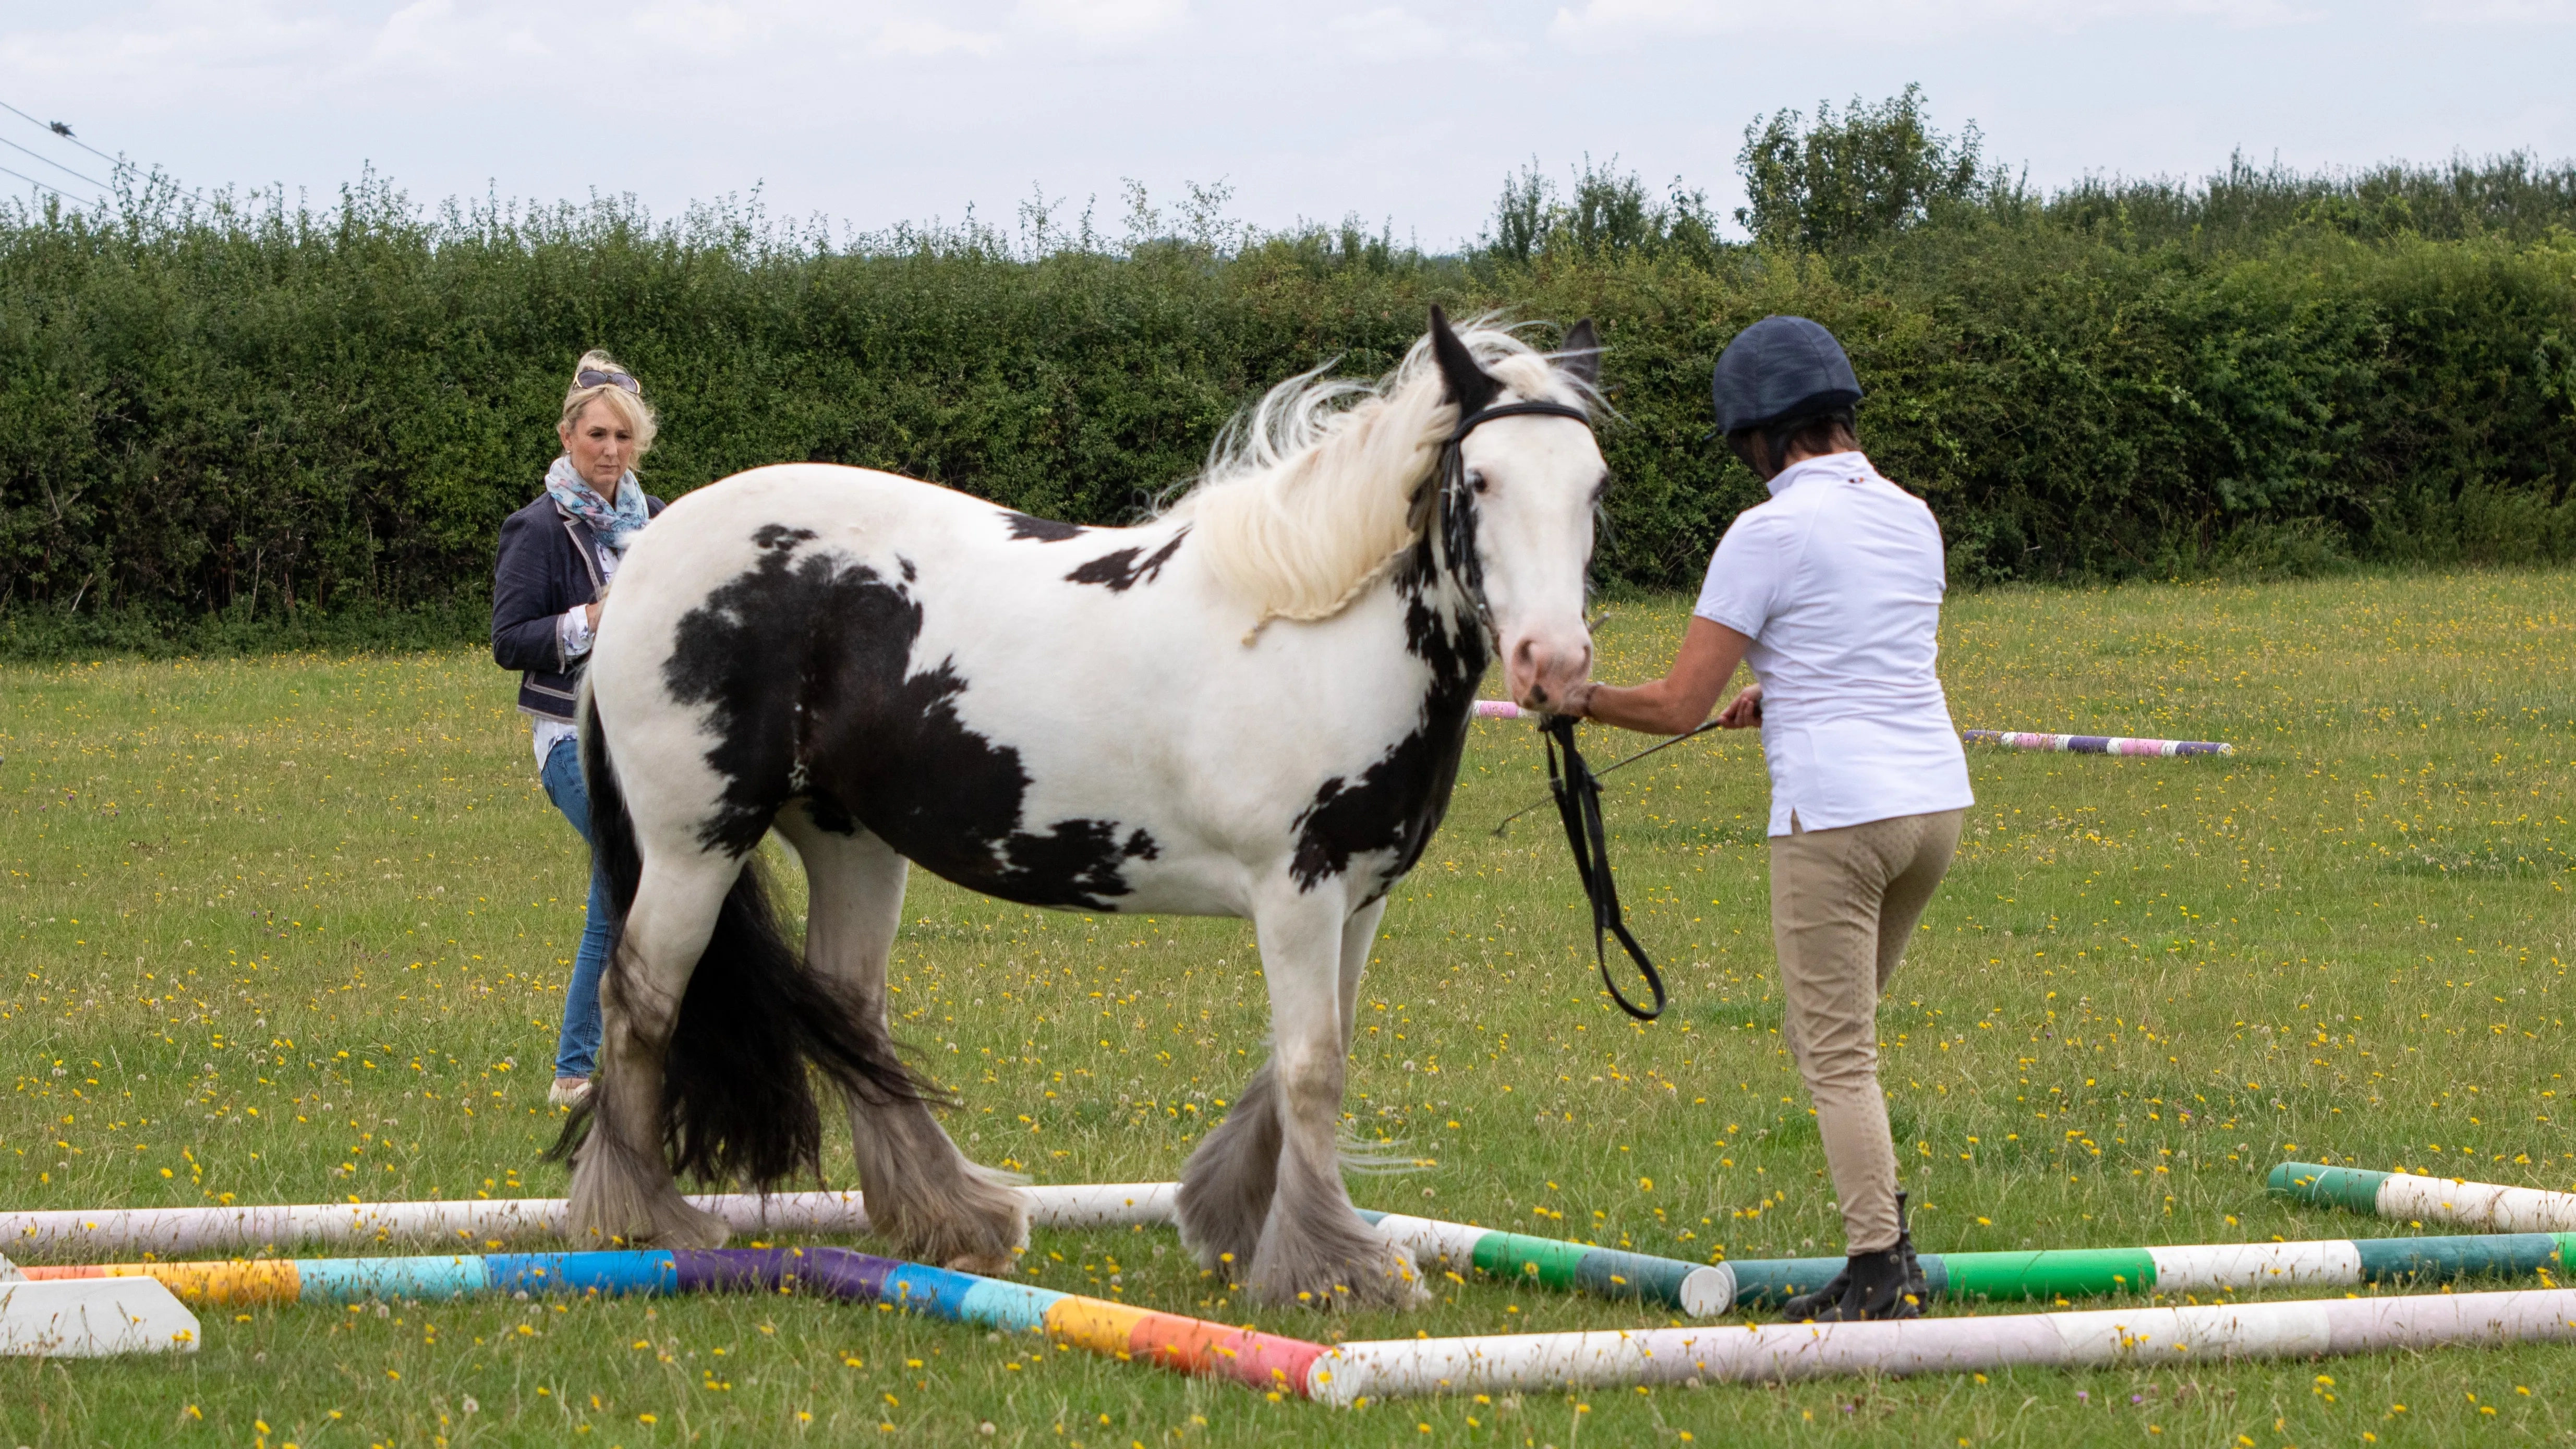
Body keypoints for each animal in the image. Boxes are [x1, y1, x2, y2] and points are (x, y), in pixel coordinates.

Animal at [563, 307, 1607, 1310]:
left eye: (1593, 486)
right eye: (1478, 480)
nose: (1551, 663)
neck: (1314, 629)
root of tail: (643, 563)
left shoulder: (1359, 898)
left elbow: (1306, 1055)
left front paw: (1238, 1220)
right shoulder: (1297, 892)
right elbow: (1312, 1067)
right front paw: (1332, 1270)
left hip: (848, 840)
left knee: (850, 1009)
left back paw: (948, 1217)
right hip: (695, 844)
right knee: (641, 1000)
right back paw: (644, 1218)